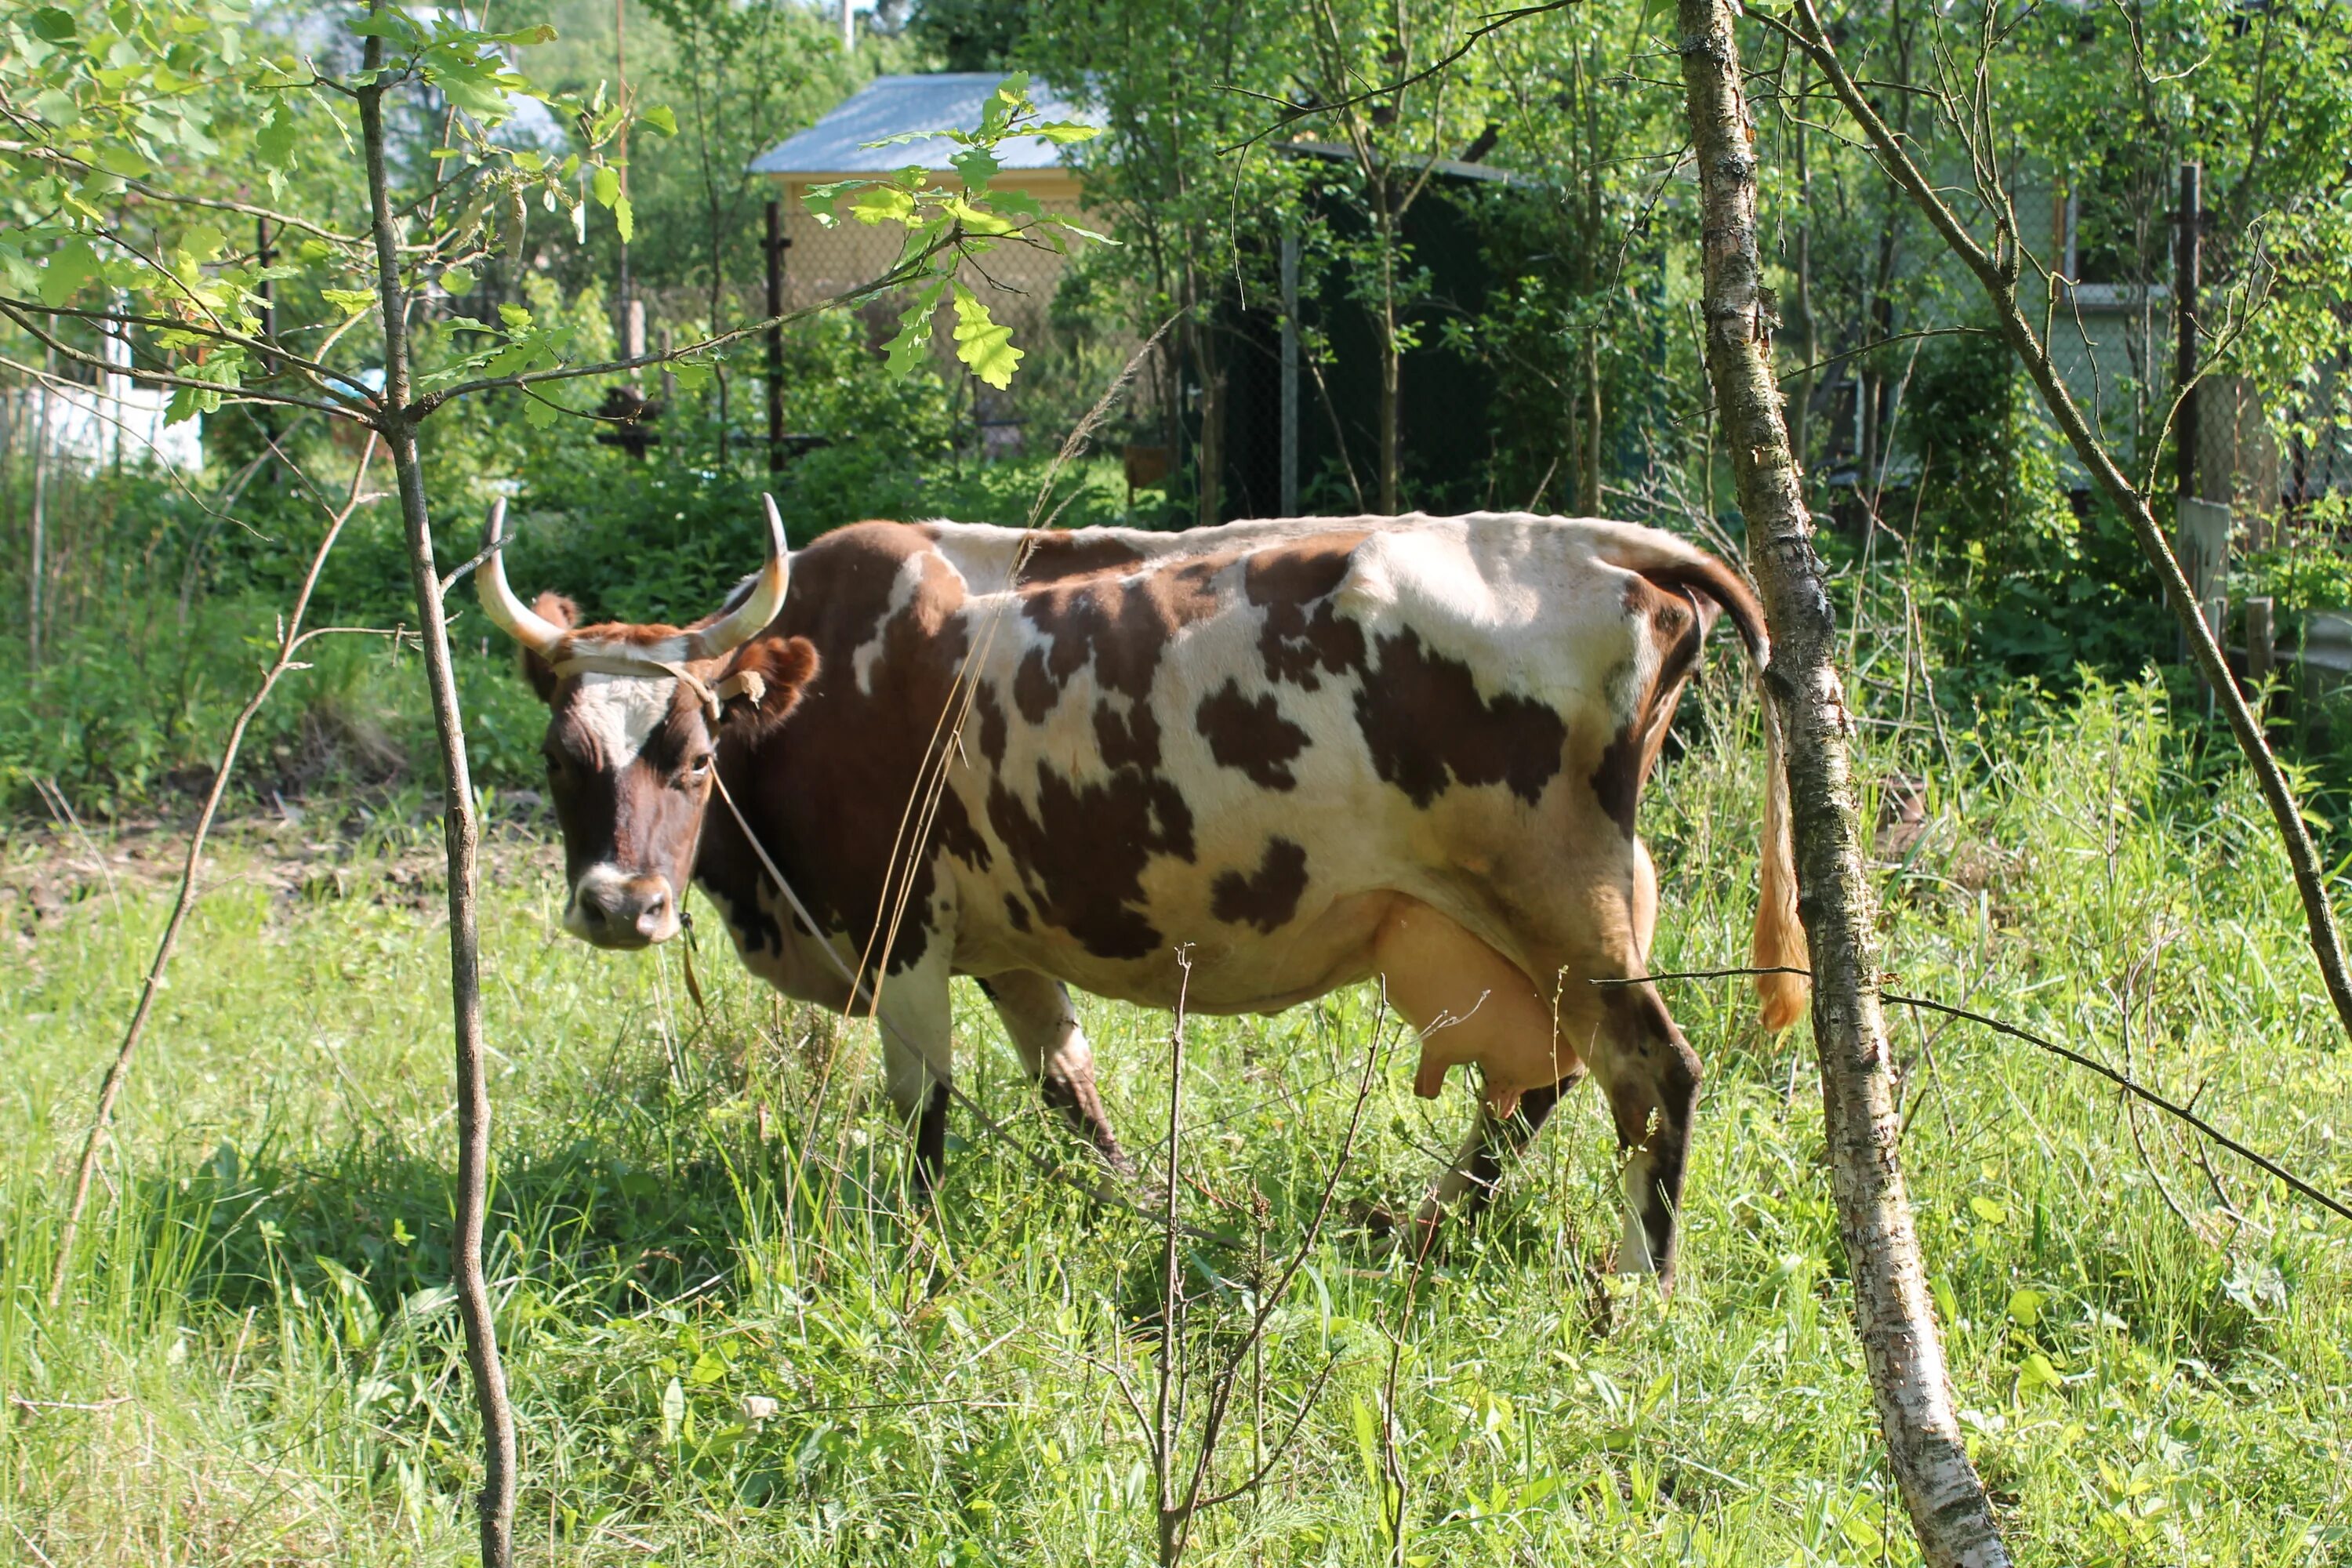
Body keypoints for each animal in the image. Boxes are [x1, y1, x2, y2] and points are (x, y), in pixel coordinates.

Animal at [473, 505, 1797, 1288]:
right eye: (560, 759)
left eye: (694, 756)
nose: (620, 905)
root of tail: (1591, 542)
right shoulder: (1003, 945)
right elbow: (1071, 1088)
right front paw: (1147, 1202)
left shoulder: (902, 934)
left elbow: (922, 1114)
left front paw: (917, 1257)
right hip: (1538, 915)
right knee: (1546, 1077)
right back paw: (1426, 1229)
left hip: (1561, 900)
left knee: (1648, 1067)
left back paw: (1635, 1285)